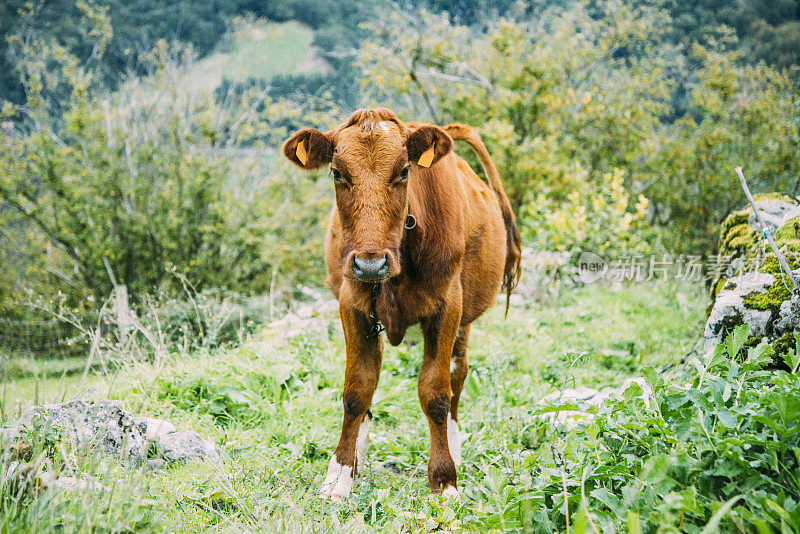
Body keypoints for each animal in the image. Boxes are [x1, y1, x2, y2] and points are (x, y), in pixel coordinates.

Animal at [284, 109, 520, 502]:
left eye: (404, 171)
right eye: (337, 173)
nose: (370, 264)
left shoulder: (447, 307)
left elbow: (435, 392)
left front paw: (445, 479)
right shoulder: (352, 304)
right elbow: (357, 389)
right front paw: (340, 474)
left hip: (465, 318)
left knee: (457, 375)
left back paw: (454, 443)